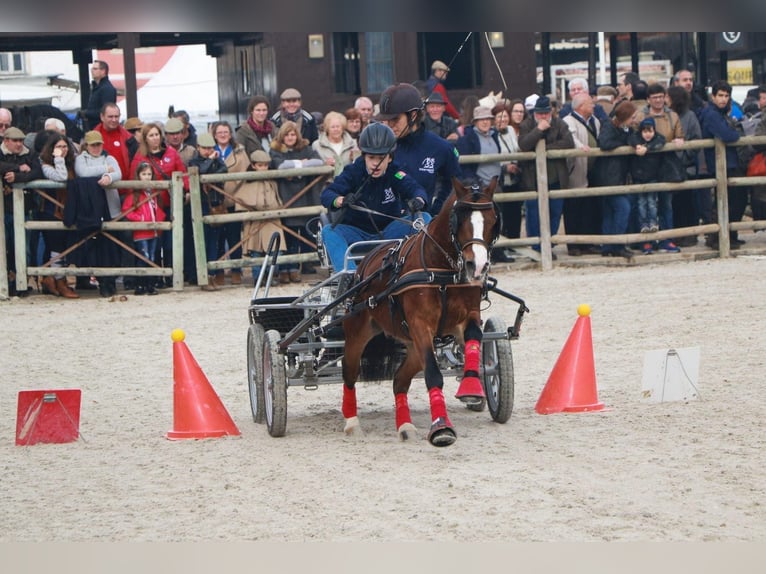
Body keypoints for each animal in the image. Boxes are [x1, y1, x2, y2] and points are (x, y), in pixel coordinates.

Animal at [340, 178, 500, 448]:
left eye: (492, 220)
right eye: (460, 220)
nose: (477, 266)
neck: (443, 271)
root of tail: (363, 264)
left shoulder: (467, 317)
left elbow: (474, 339)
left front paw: (471, 387)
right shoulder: (420, 325)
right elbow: (434, 375)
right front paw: (441, 427)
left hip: (412, 346)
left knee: (399, 381)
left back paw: (405, 426)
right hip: (358, 332)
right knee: (349, 372)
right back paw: (351, 423)